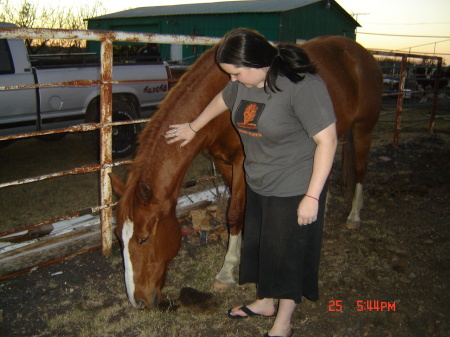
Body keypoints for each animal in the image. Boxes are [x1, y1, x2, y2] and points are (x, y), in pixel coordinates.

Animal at [110, 36, 384, 308]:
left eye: (144, 239)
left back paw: (354, 216)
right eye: (119, 238)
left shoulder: (243, 161)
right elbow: (238, 210)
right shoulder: (224, 162)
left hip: (363, 128)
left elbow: (234, 213)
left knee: (360, 170)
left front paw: (227, 271)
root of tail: (360, 52)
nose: (138, 301)